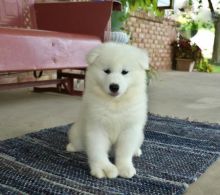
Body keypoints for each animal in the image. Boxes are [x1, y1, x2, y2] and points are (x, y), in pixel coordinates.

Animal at [66, 42, 150, 178]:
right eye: (107, 71)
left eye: (124, 72)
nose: (114, 86)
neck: (115, 103)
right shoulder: (96, 127)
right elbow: (97, 150)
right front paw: (103, 168)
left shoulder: (129, 129)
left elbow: (125, 151)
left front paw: (125, 167)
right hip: (76, 131)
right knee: (78, 142)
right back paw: (72, 146)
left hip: (139, 136)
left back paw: (136, 151)